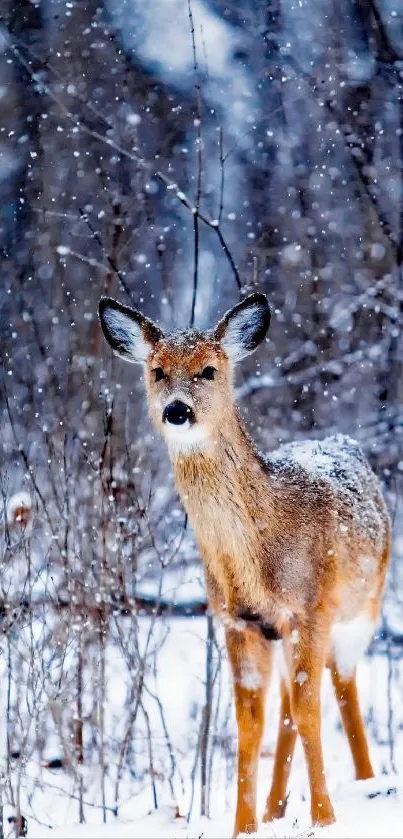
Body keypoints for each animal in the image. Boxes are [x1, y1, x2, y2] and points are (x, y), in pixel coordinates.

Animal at [98, 292, 392, 836]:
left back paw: (366, 782)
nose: (177, 410)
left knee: (342, 688)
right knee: (286, 708)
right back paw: (277, 807)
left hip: (363, 608)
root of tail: (343, 442)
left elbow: (311, 710)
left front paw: (325, 818)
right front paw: (244, 826)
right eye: (157, 371)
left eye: (209, 370)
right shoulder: (238, 621)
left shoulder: (311, 608)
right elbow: (250, 723)